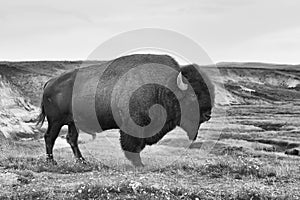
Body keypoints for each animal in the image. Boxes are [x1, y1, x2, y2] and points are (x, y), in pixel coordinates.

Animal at [36, 54, 214, 166]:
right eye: (193, 97)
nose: (207, 114)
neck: (164, 87)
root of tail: (50, 82)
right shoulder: (133, 125)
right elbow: (132, 145)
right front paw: (139, 164)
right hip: (56, 121)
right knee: (49, 137)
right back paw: (52, 162)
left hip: (72, 122)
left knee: (71, 138)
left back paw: (82, 161)